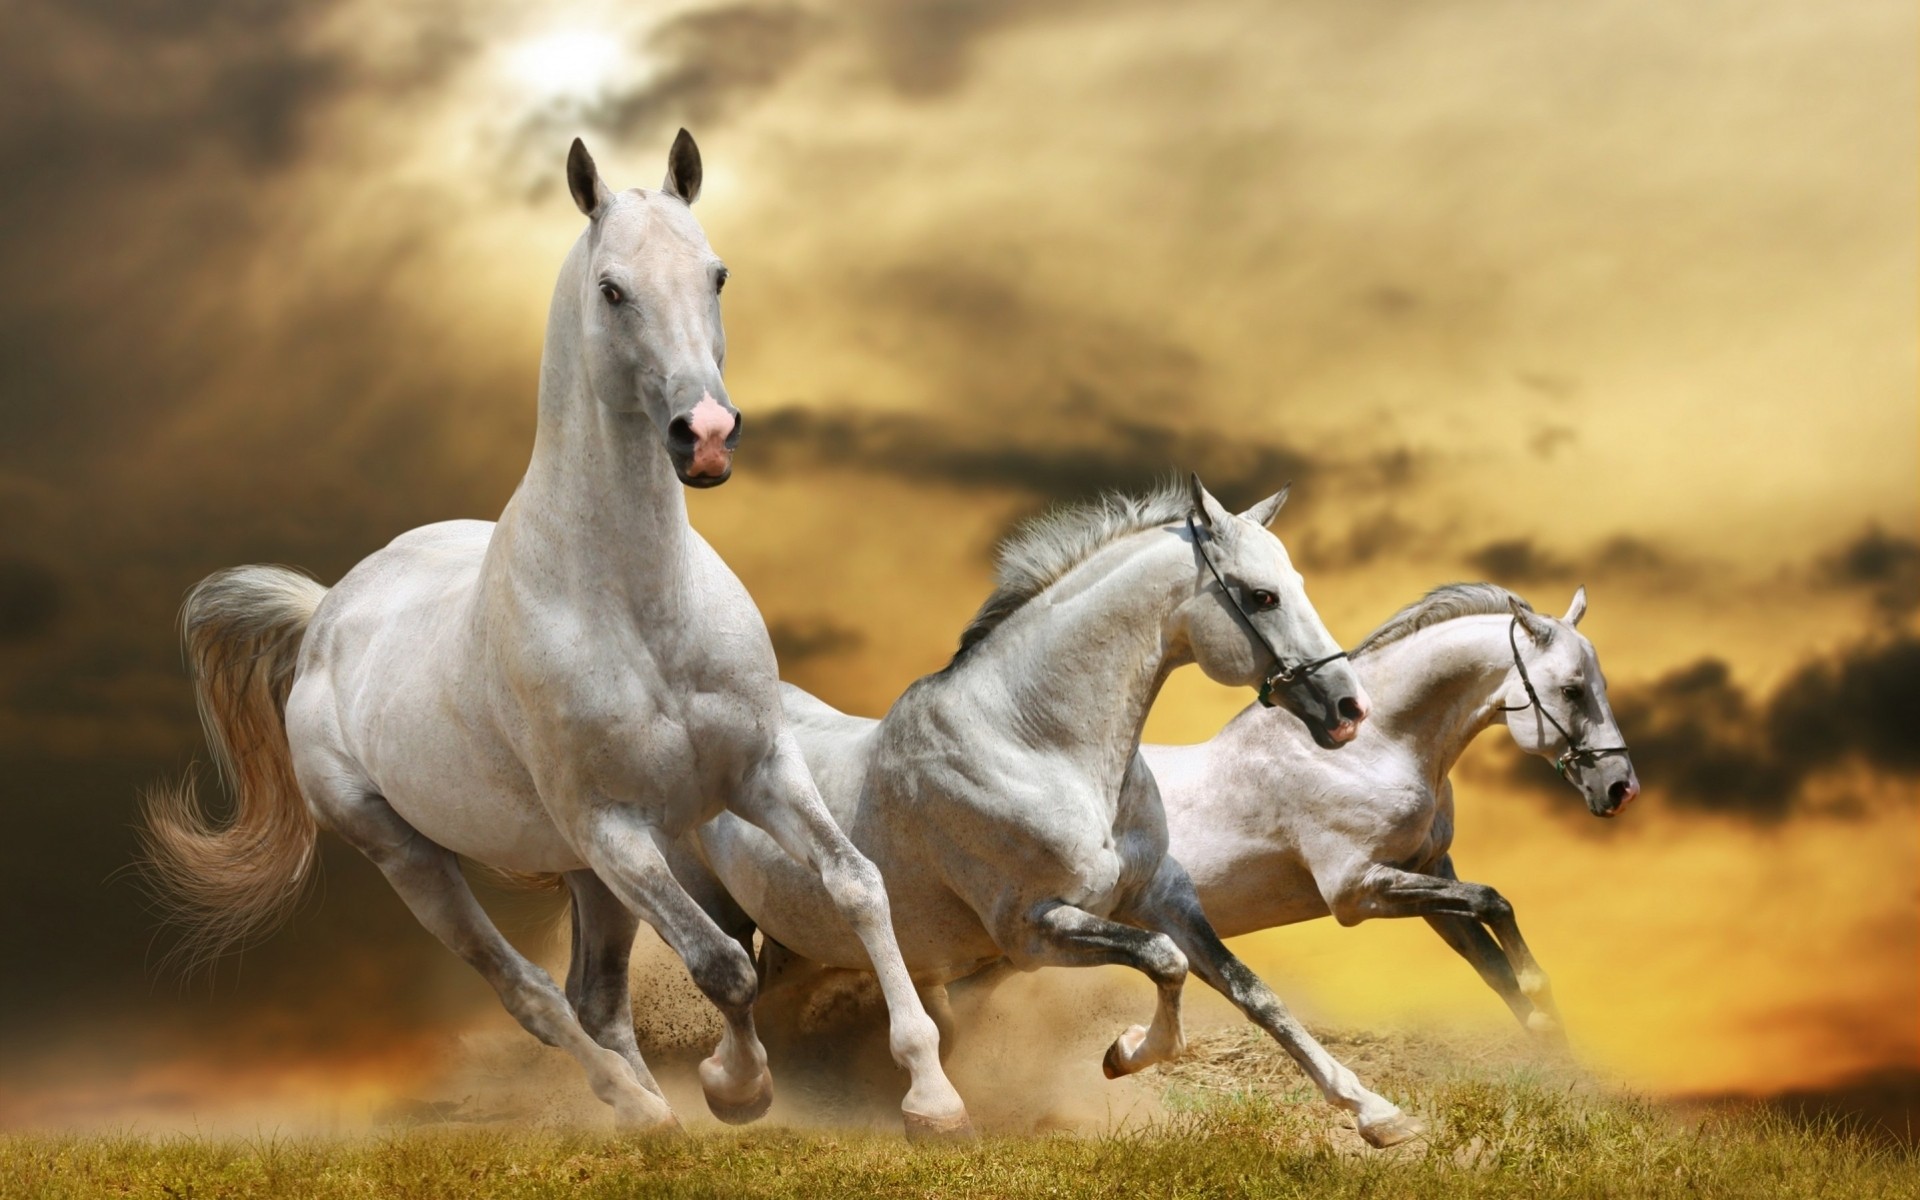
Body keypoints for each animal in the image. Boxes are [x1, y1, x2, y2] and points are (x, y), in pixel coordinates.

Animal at [140, 132, 969, 1137]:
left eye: (717, 274)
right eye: (612, 288)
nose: (706, 435)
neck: (642, 612)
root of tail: (329, 610)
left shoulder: (758, 773)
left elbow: (855, 884)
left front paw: (931, 1094)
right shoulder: (616, 828)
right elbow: (724, 962)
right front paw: (737, 1090)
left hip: (583, 875)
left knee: (594, 998)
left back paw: (651, 1111)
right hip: (416, 857)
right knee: (531, 994)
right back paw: (639, 1108)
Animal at [650, 478, 1425, 1147]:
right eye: (1261, 597)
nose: (1349, 709)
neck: (1037, 744)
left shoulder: (1161, 894)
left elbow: (1253, 992)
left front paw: (1379, 1115)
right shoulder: (1032, 929)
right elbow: (1165, 961)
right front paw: (1124, 1052)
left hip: (799, 940)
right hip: (715, 905)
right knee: (727, 981)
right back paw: (737, 1093)